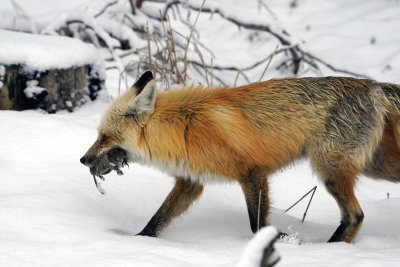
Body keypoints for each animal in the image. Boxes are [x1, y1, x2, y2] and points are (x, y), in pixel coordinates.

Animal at [79, 71, 400, 243]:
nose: (83, 160)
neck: (183, 126)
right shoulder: (190, 182)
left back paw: (329, 250)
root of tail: (372, 85)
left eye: (104, 137)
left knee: (355, 215)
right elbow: (157, 220)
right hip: (374, 167)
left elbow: (256, 224)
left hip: (331, 171)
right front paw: (138, 243)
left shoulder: (252, 172)